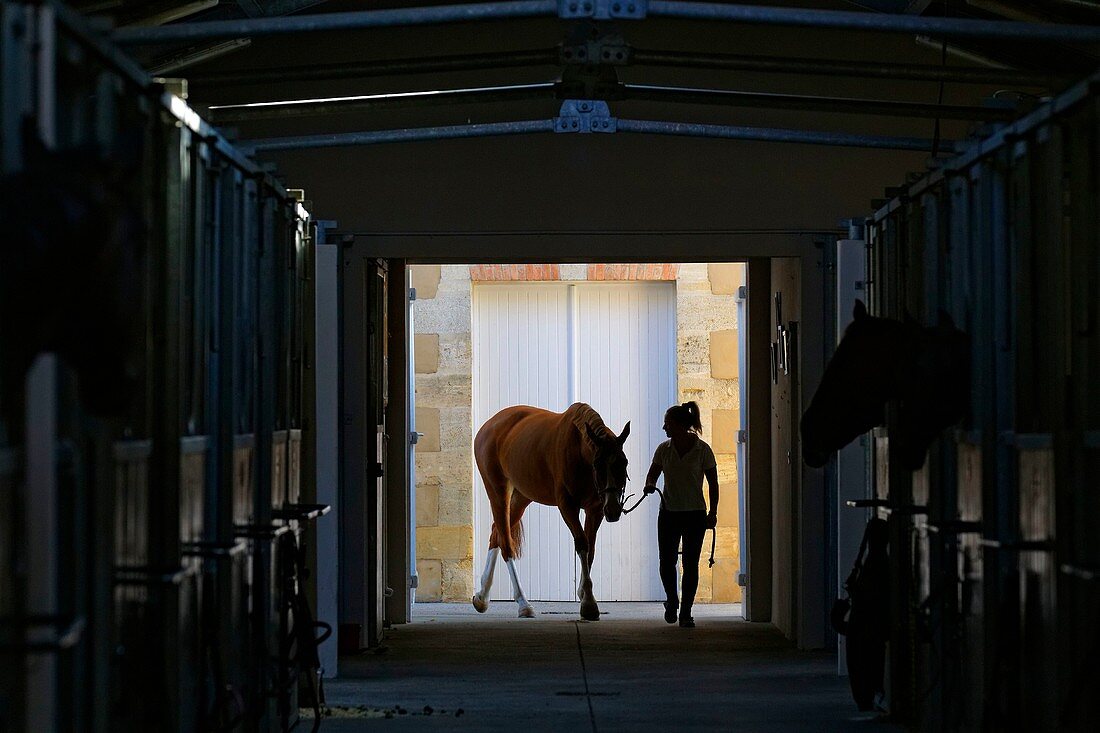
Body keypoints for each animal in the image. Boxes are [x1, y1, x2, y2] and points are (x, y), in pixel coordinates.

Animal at [470, 402, 633, 620]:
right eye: (597, 464)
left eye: (624, 463)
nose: (614, 510)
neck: (578, 450)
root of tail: (487, 427)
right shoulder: (568, 506)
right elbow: (582, 544)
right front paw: (589, 603)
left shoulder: (596, 509)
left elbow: (590, 549)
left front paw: (583, 594)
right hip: (498, 490)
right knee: (506, 542)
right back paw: (523, 604)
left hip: (522, 497)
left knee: (496, 533)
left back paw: (482, 597)